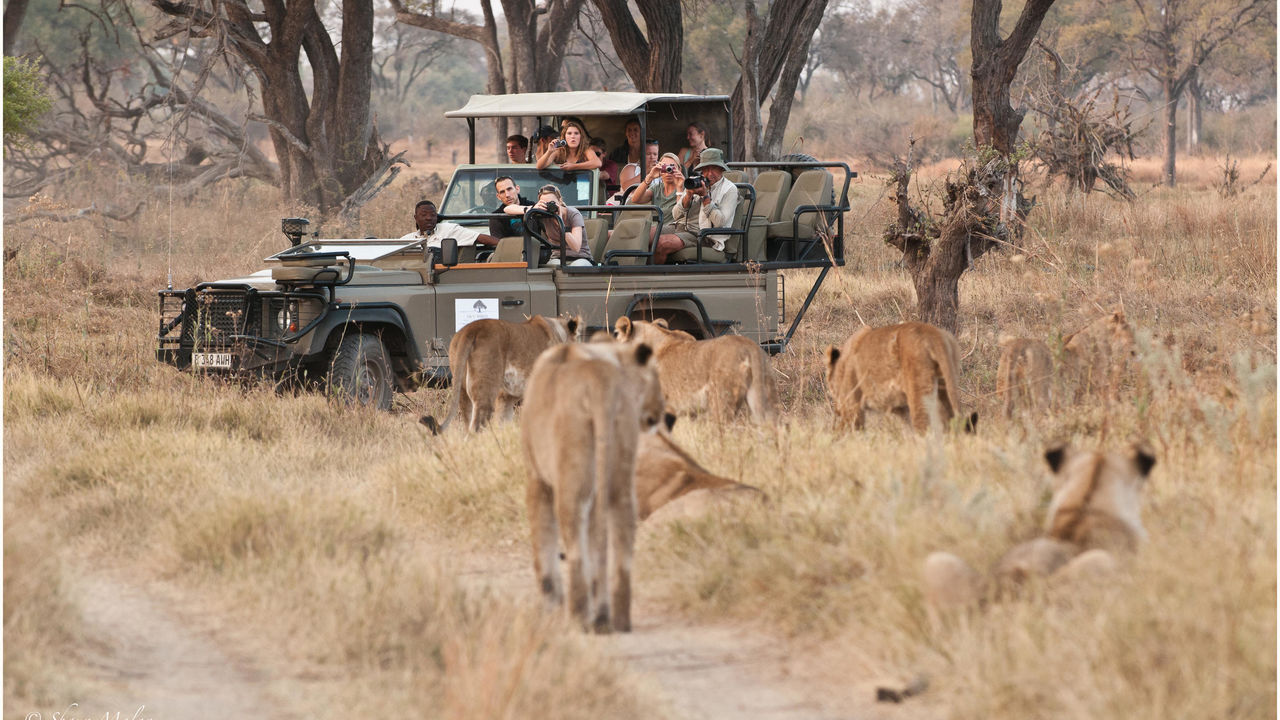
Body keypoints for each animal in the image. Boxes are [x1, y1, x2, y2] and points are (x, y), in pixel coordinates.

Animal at [419, 313, 581, 430]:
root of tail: (472, 329)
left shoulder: (505, 397)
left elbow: (503, 424)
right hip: (485, 392)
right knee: (474, 429)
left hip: (463, 391)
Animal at [519, 338, 665, 630]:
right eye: (656, 376)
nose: (663, 412)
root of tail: (599, 383)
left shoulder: (537, 480)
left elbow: (544, 545)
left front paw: (550, 607)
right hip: (620, 481)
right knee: (621, 547)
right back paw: (616, 620)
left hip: (571, 480)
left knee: (576, 550)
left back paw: (579, 618)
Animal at [824, 320, 972, 430]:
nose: (837, 411)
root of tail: (932, 334)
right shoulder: (901, 408)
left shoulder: (852, 406)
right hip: (946, 386)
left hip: (919, 392)